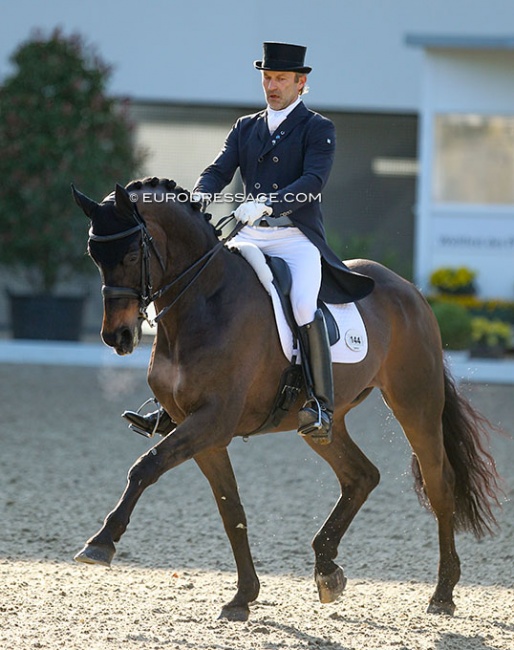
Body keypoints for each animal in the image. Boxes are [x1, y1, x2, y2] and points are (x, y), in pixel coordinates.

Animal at [72, 176, 500, 616]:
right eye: (94, 255)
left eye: (131, 253)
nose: (118, 337)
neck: (204, 300)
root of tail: (410, 290)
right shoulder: (204, 432)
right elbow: (230, 508)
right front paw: (243, 596)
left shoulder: (213, 421)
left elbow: (146, 466)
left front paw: (101, 543)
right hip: (323, 422)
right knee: (361, 475)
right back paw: (327, 569)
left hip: (416, 403)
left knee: (439, 484)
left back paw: (443, 593)